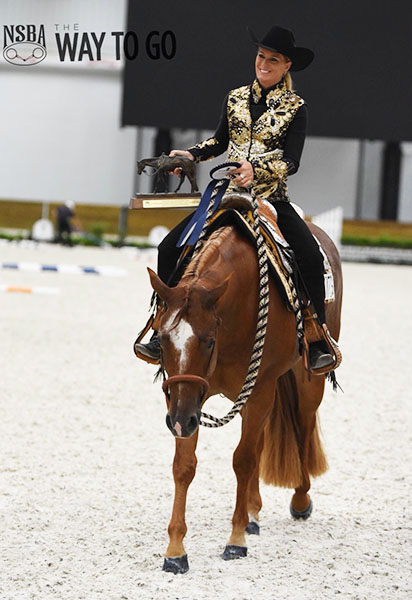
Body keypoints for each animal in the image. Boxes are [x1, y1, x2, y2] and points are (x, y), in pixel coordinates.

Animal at [147, 200, 342, 574]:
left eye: (209, 341)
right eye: (162, 339)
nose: (178, 421)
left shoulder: (258, 387)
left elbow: (244, 459)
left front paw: (235, 540)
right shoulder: (187, 397)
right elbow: (184, 466)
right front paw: (176, 550)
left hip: (305, 380)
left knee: (303, 427)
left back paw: (300, 500)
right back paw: (254, 513)